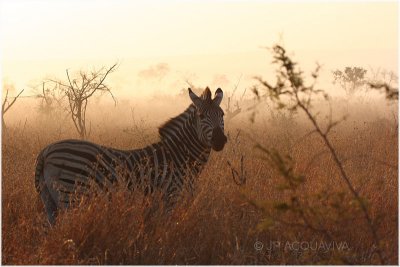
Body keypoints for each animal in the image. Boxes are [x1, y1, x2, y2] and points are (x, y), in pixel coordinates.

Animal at [33, 87, 228, 225]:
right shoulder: (171, 197)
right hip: (72, 196)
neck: (179, 157)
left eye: (222, 114)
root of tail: (46, 151)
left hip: (50, 201)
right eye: (201, 115)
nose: (220, 140)